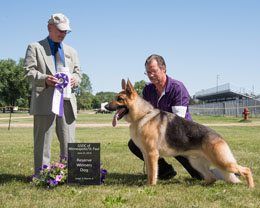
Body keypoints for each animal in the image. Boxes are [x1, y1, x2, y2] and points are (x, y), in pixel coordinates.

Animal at [105, 79, 254, 188]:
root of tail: (219, 137)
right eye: (116, 97)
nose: (105, 107)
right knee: (212, 178)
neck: (142, 115)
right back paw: (200, 185)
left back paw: (251, 187)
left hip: (222, 162)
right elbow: (149, 173)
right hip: (197, 163)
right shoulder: (147, 155)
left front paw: (150, 187)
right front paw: (148, 184)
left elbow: (152, 173)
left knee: (245, 170)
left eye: (119, 99)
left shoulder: (152, 155)